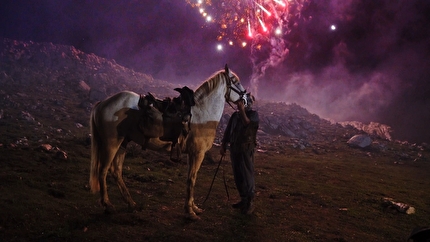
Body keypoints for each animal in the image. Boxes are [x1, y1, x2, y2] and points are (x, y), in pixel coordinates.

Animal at [89, 65, 247, 220]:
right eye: (236, 81)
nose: (247, 99)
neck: (202, 114)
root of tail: (103, 103)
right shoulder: (198, 153)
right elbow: (192, 179)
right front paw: (190, 212)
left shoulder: (191, 154)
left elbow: (190, 178)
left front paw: (193, 207)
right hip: (111, 143)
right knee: (103, 170)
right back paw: (108, 205)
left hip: (122, 143)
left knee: (116, 171)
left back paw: (131, 204)